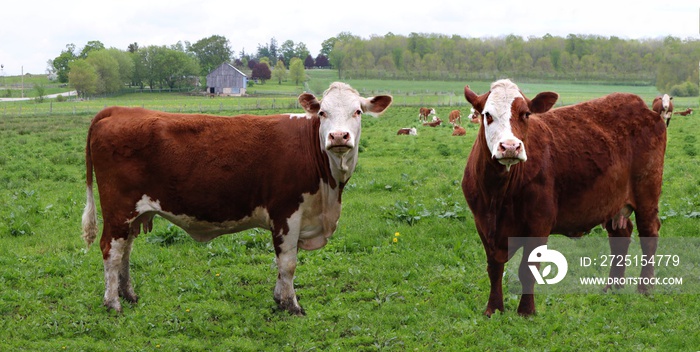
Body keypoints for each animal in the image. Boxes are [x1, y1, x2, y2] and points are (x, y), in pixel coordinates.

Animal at [462, 80, 664, 316]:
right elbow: (494, 267)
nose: (510, 146)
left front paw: (526, 311)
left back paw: (645, 288)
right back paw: (612, 287)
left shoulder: (539, 223)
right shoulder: (483, 224)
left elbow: (528, 269)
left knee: (649, 236)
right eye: (487, 115)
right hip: (611, 202)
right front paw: (493, 309)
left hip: (647, 195)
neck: (499, 195)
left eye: (526, 114)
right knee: (620, 236)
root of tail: (642, 107)